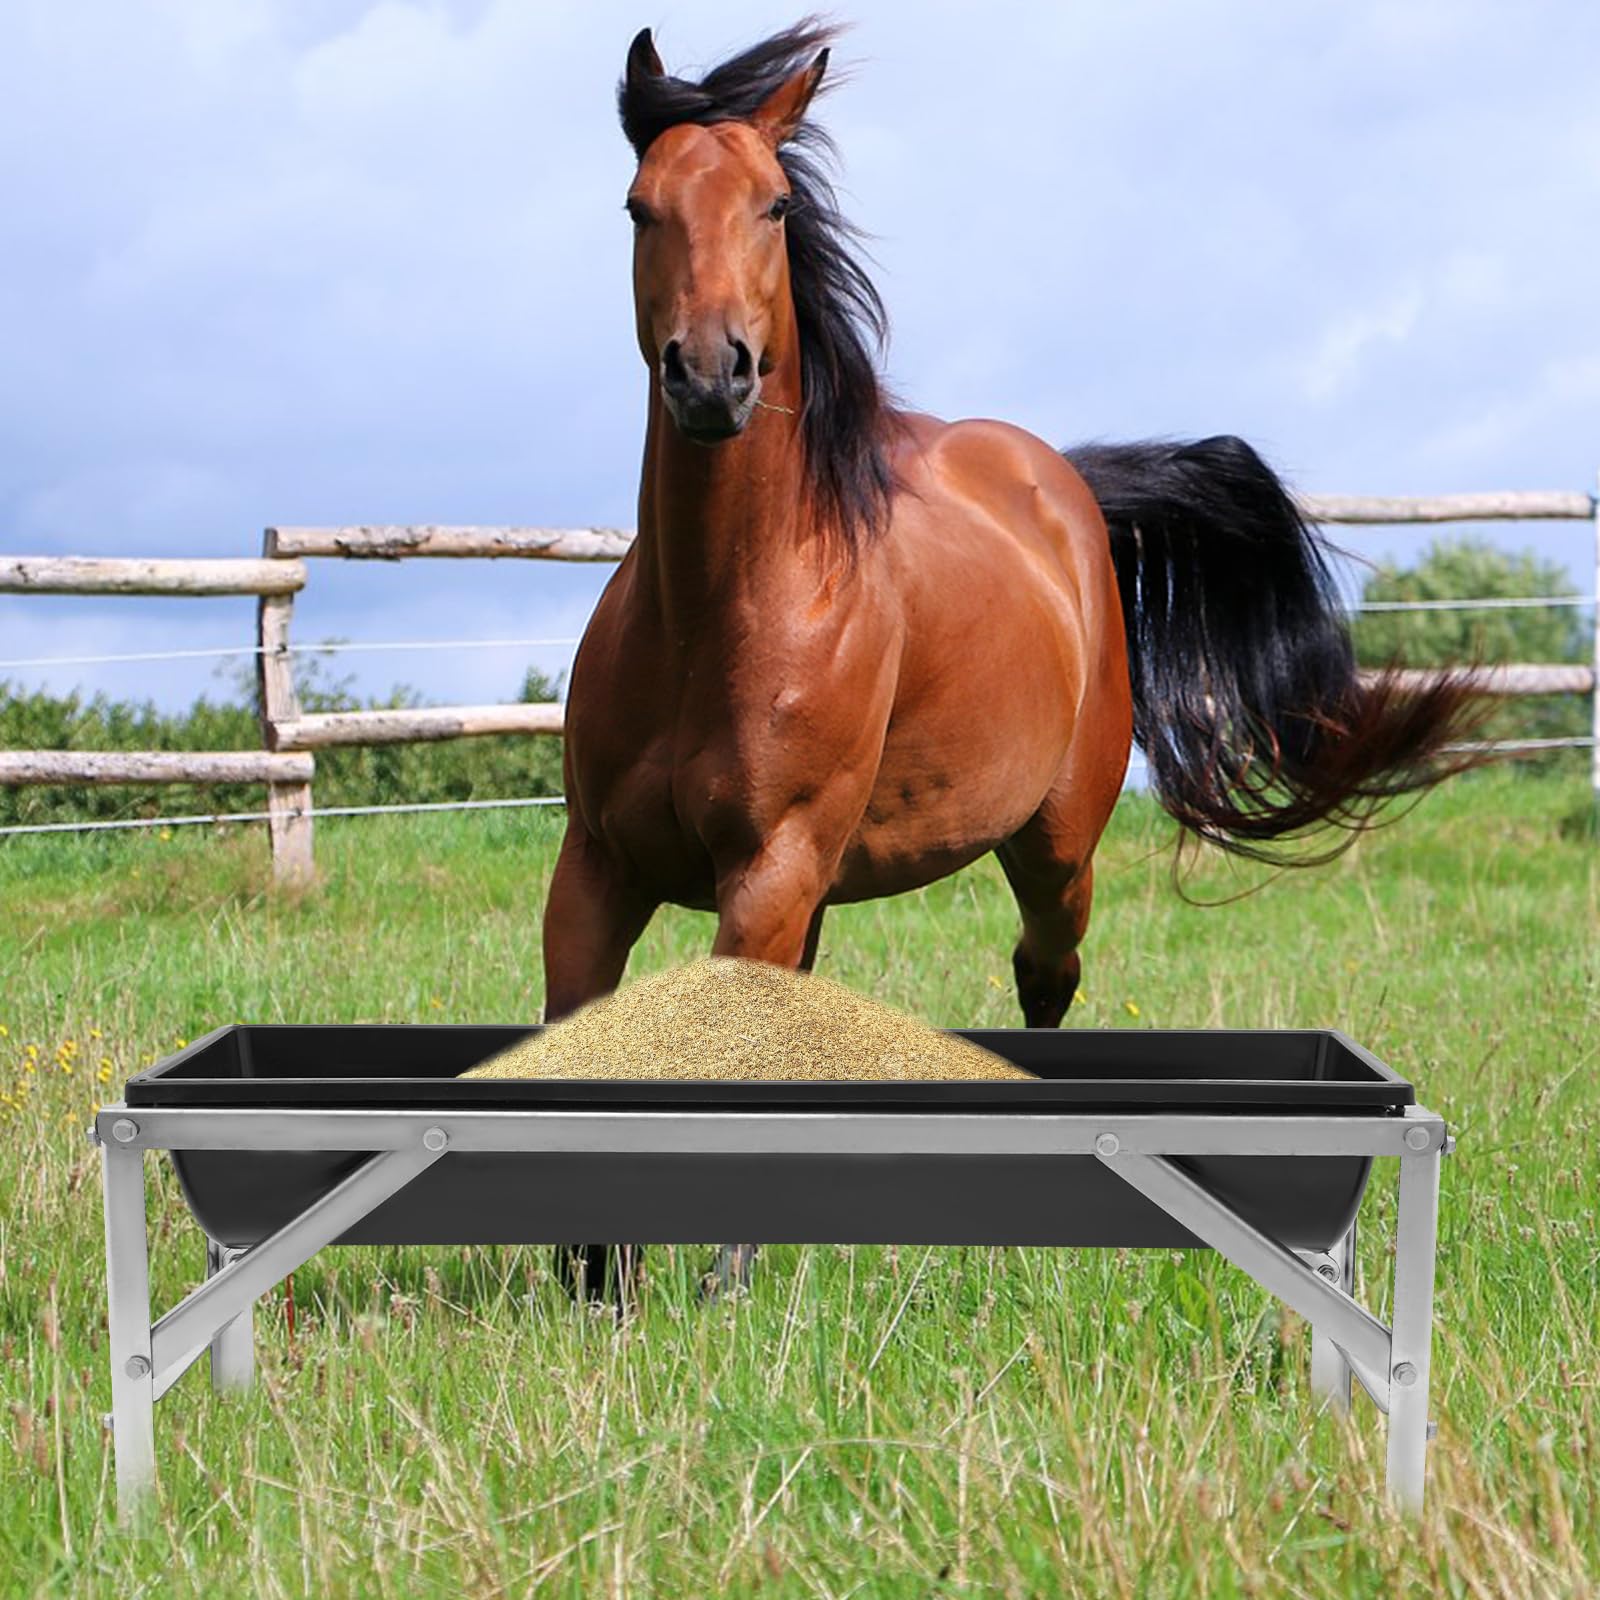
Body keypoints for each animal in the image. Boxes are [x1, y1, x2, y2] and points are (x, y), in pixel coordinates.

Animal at [543, 19, 1484, 1306]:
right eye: (640, 208)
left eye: (775, 207)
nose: (711, 373)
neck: (716, 613)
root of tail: (1065, 485)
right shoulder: (598, 867)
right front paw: (593, 1279)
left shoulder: (771, 868)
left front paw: (715, 1281)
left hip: (1053, 850)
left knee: (1045, 976)